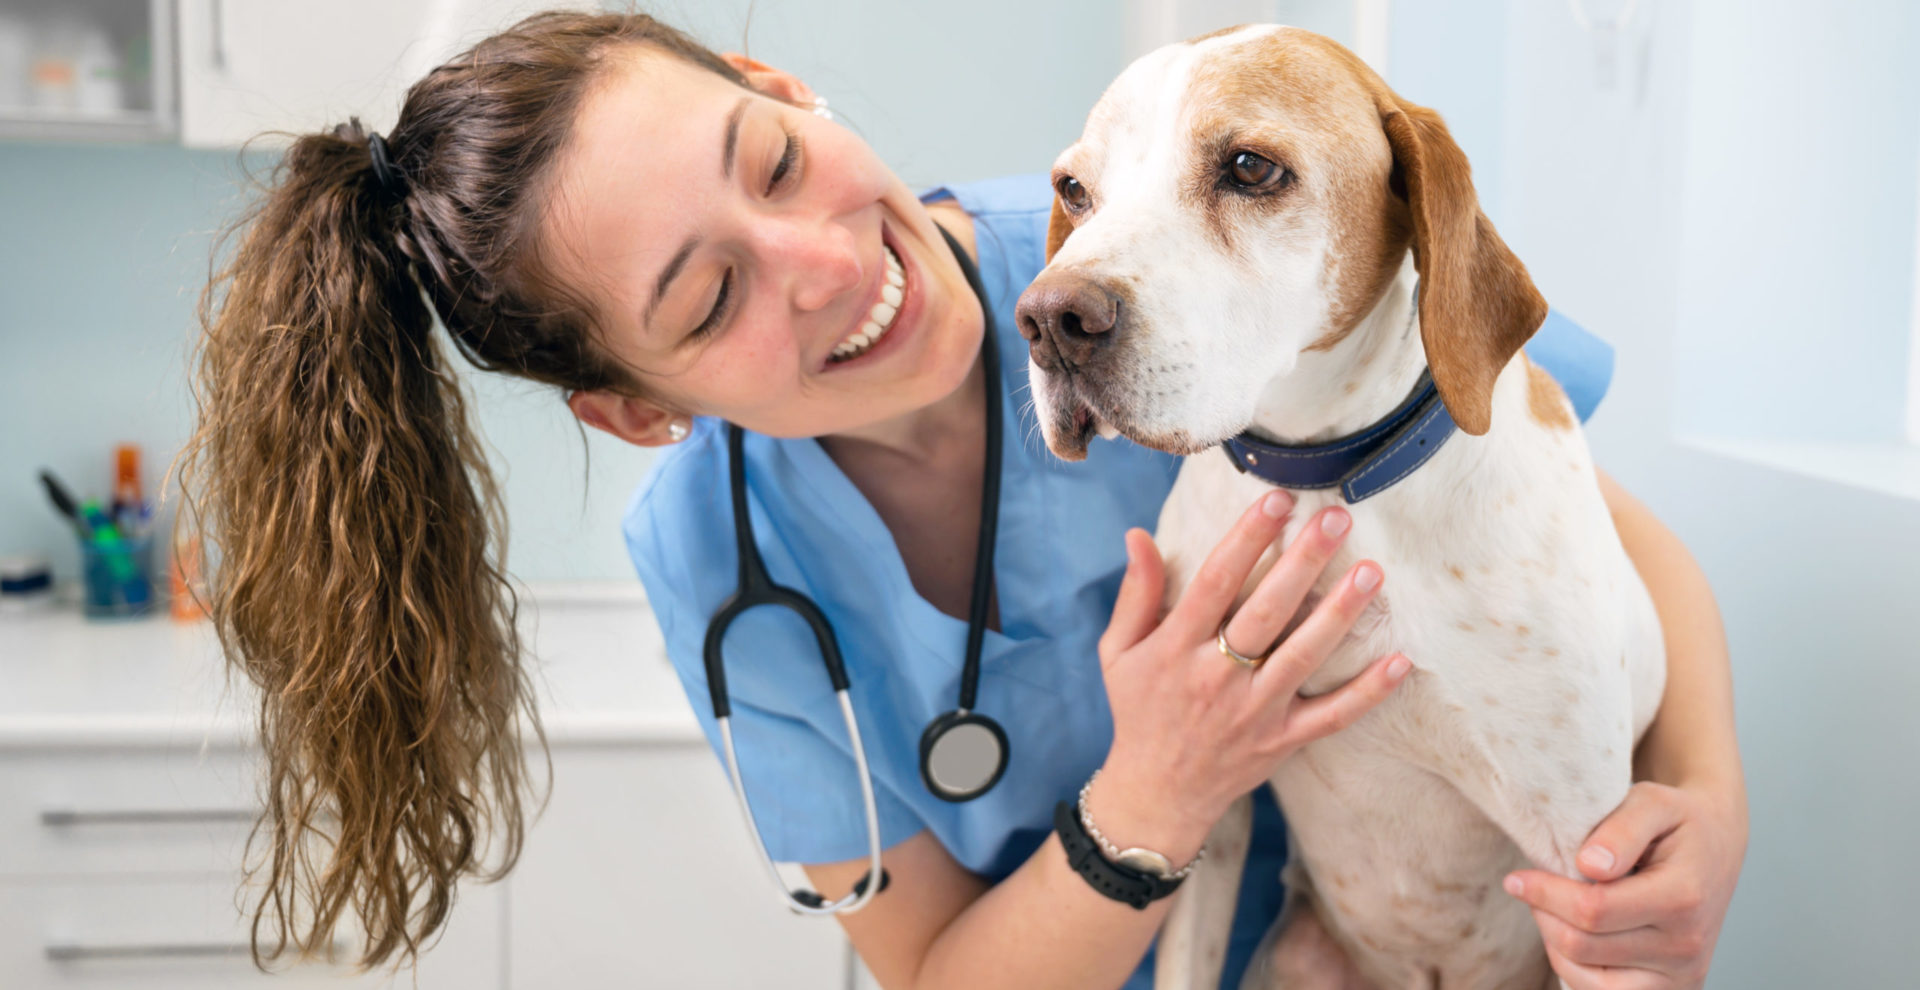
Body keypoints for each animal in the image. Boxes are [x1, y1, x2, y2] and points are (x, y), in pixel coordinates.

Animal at [1021, 23, 1666, 990]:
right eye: (1074, 189)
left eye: (1249, 167)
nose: (1050, 320)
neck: (1323, 481)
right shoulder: (1207, 805)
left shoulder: (1588, 872)